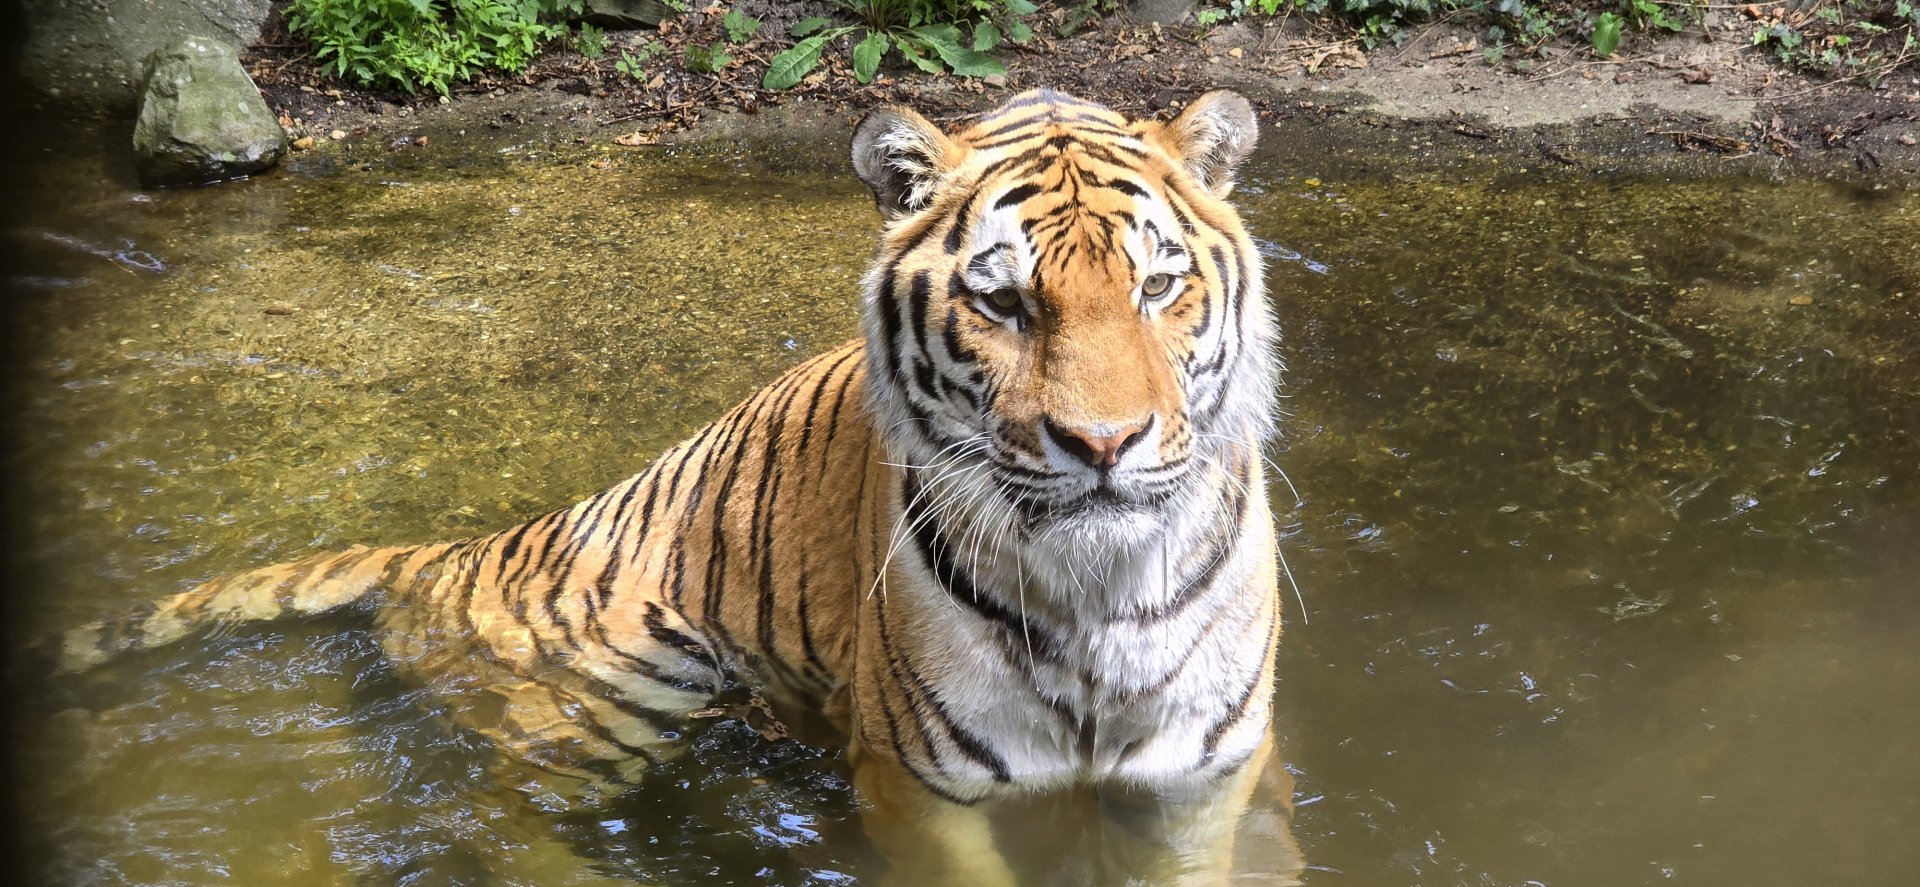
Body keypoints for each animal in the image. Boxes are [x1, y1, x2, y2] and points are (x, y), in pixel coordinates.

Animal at [56, 88, 1294, 886]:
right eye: (1004, 304)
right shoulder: (921, 783)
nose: (1104, 442)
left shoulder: (1204, 772)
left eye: (1159, 286)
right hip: (625, 673)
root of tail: (461, 547)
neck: (1097, 588)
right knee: (483, 812)